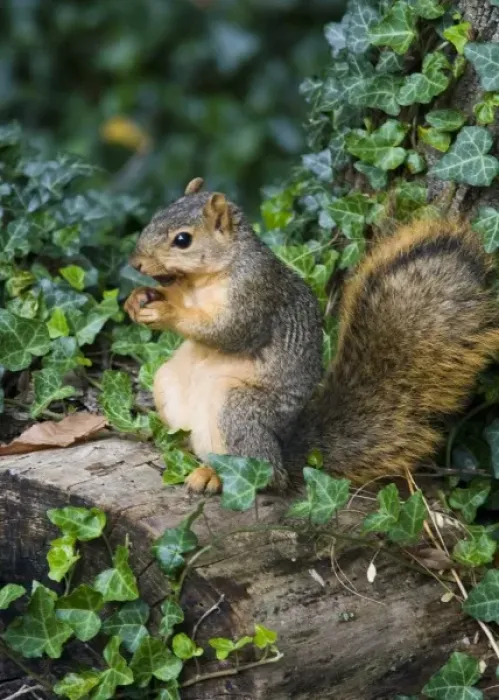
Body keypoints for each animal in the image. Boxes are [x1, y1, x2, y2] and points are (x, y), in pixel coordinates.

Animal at [125, 177, 499, 494]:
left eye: (182, 239)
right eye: (156, 216)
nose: (136, 263)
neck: (204, 280)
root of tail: (287, 449)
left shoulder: (256, 293)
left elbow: (232, 331)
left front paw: (167, 312)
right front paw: (139, 299)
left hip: (237, 409)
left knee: (267, 474)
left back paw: (218, 475)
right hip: (167, 382)